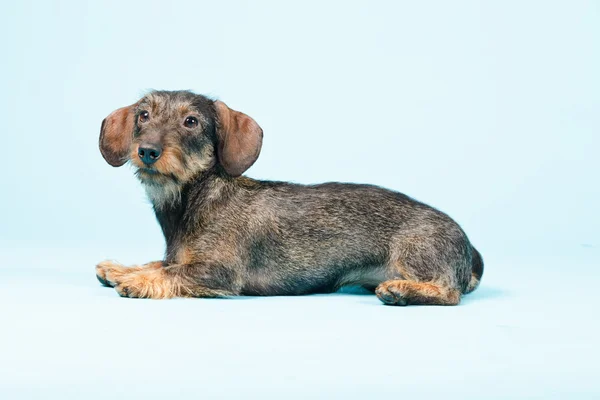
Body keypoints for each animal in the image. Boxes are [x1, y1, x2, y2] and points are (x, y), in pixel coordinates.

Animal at [96, 89, 486, 304]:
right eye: (143, 115)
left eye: (191, 121)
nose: (147, 151)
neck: (199, 199)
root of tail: (469, 246)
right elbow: (161, 262)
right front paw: (123, 268)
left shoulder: (218, 274)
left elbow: (172, 271)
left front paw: (136, 280)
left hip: (416, 253)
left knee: (450, 292)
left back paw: (401, 291)